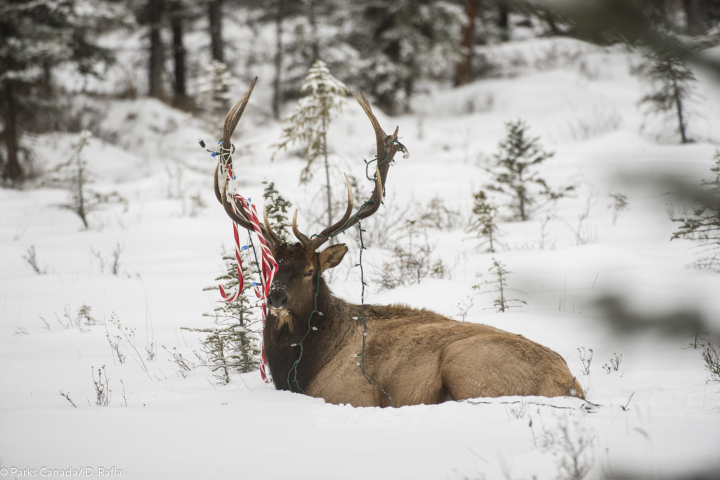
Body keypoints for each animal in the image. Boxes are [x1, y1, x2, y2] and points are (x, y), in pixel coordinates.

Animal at [214, 79, 584, 408]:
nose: (276, 297)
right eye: (274, 266)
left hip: (466, 365)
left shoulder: (351, 392)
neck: (300, 369)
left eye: (309, 271)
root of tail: (569, 383)